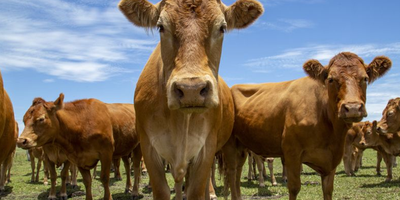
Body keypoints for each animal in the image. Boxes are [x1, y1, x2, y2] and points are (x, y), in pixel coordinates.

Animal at [117, 0, 264, 198]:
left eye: (222, 27)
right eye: (161, 26)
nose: (191, 89)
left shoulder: (206, 148)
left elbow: (197, 190)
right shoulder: (148, 147)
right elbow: (161, 190)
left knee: (232, 173)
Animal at [223, 52, 392, 199]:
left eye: (365, 78)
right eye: (331, 79)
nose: (353, 108)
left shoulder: (331, 159)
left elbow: (328, 190)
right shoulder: (292, 152)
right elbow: (294, 188)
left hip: (242, 146)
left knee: (237, 172)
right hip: (230, 145)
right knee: (231, 172)